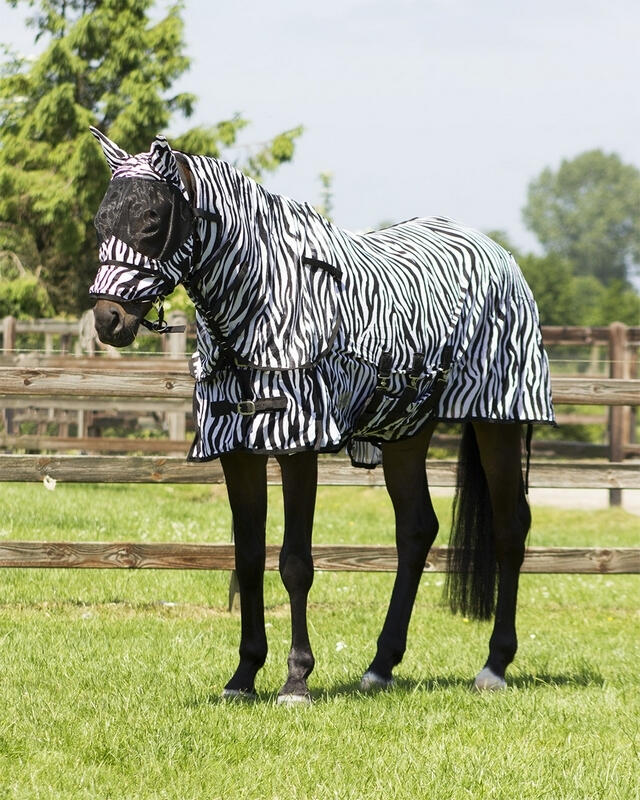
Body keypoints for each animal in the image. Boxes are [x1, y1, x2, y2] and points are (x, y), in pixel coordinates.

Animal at [88, 128, 554, 704]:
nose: (107, 320)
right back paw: (381, 666)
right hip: (405, 430)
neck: (261, 307)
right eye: (100, 223)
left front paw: (296, 679)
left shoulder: (298, 445)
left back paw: (494, 666)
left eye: (152, 220)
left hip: (499, 421)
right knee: (416, 529)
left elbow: (295, 563)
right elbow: (247, 559)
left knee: (512, 527)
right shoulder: (237, 449)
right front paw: (243, 676)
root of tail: (500, 255)